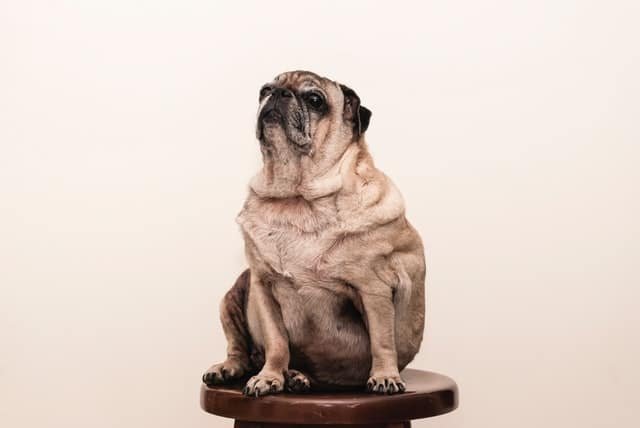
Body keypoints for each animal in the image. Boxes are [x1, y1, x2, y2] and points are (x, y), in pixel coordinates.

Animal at [205, 72, 424, 396]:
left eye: (315, 100)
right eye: (265, 90)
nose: (279, 93)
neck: (297, 198)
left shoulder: (373, 289)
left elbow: (382, 340)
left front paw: (385, 375)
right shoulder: (262, 286)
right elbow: (276, 342)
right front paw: (270, 376)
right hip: (232, 297)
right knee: (240, 350)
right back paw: (243, 369)